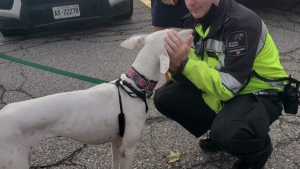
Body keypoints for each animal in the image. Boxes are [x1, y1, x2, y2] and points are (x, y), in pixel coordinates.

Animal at [0, 28, 192, 168]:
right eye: (175, 34)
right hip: (15, 161)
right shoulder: (128, 148)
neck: (133, 85)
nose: (193, 31)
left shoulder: (116, 143)